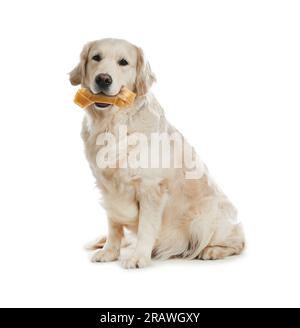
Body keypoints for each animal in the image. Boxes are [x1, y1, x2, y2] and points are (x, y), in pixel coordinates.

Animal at [69, 39, 245, 270]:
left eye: (123, 62)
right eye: (96, 57)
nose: (103, 79)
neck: (113, 124)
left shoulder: (151, 187)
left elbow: (146, 226)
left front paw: (138, 257)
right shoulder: (108, 187)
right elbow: (114, 225)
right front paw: (109, 251)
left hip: (204, 218)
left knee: (237, 241)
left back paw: (211, 251)